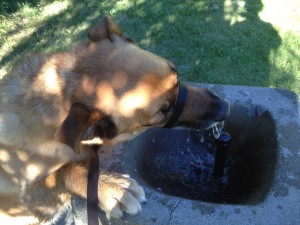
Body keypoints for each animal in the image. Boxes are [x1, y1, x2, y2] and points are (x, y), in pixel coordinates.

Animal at [0, 15, 230, 223]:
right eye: (162, 112)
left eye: (177, 76)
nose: (224, 109)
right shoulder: (25, 201)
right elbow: (63, 172)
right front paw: (113, 188)